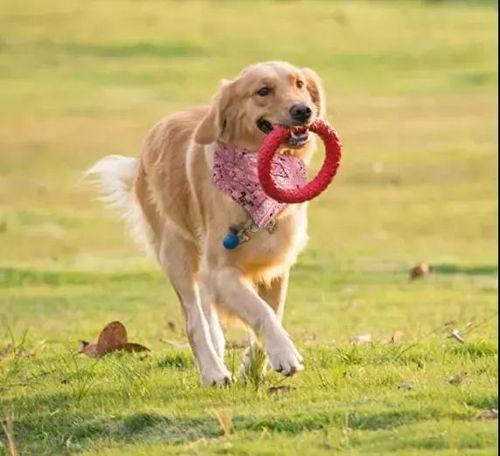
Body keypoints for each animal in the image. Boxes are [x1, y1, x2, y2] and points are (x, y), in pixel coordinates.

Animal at [88, 59, 326, 382]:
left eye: (299, 84)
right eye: (263, 91)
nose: (303, 110)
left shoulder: (275, 267)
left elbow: (272, 312)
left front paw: (254, 366)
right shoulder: (221, 271)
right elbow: (260, 312)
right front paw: (285, 354)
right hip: (176, 252)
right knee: (194, 319)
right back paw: (213, 371)